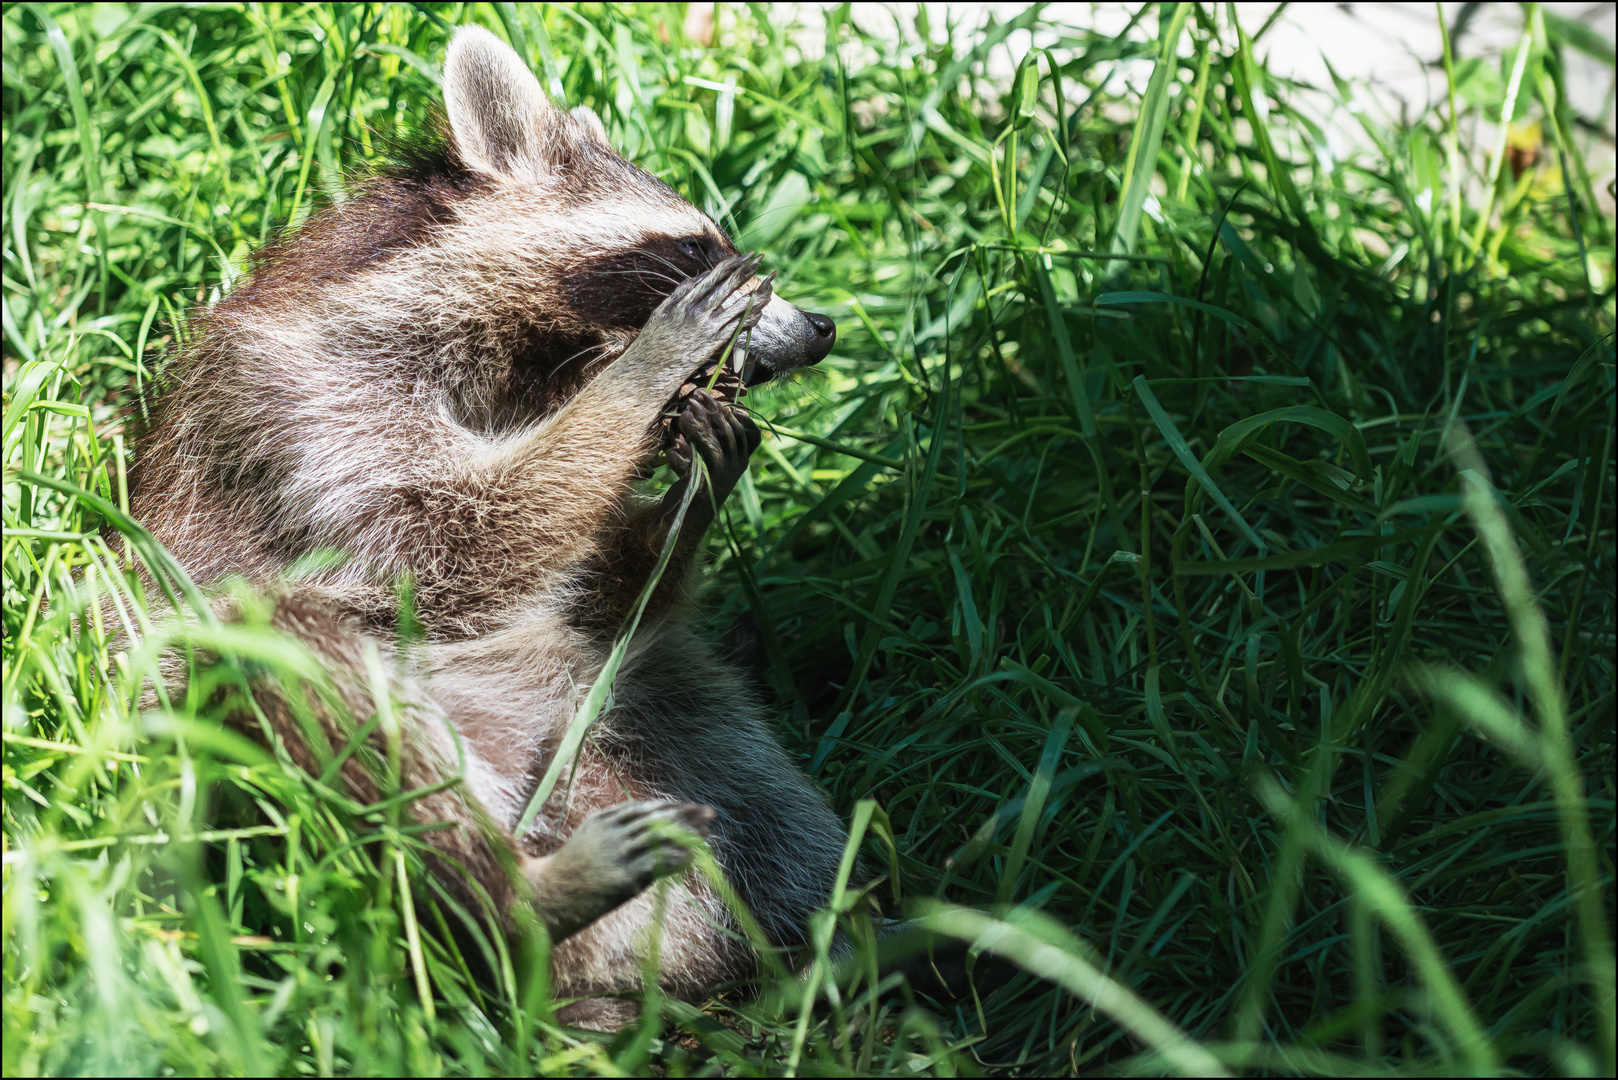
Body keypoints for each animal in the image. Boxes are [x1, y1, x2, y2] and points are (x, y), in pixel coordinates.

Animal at [127, 23, 854, 1023]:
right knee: (295, 656)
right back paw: (515, 901)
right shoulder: (302, 412)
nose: (820, 328)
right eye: (699, 244)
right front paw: (640, 382)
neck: (528, 368)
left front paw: (690, 482)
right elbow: (444, 551)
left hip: (634, 728)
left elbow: (591, 599)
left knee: (743, 767)